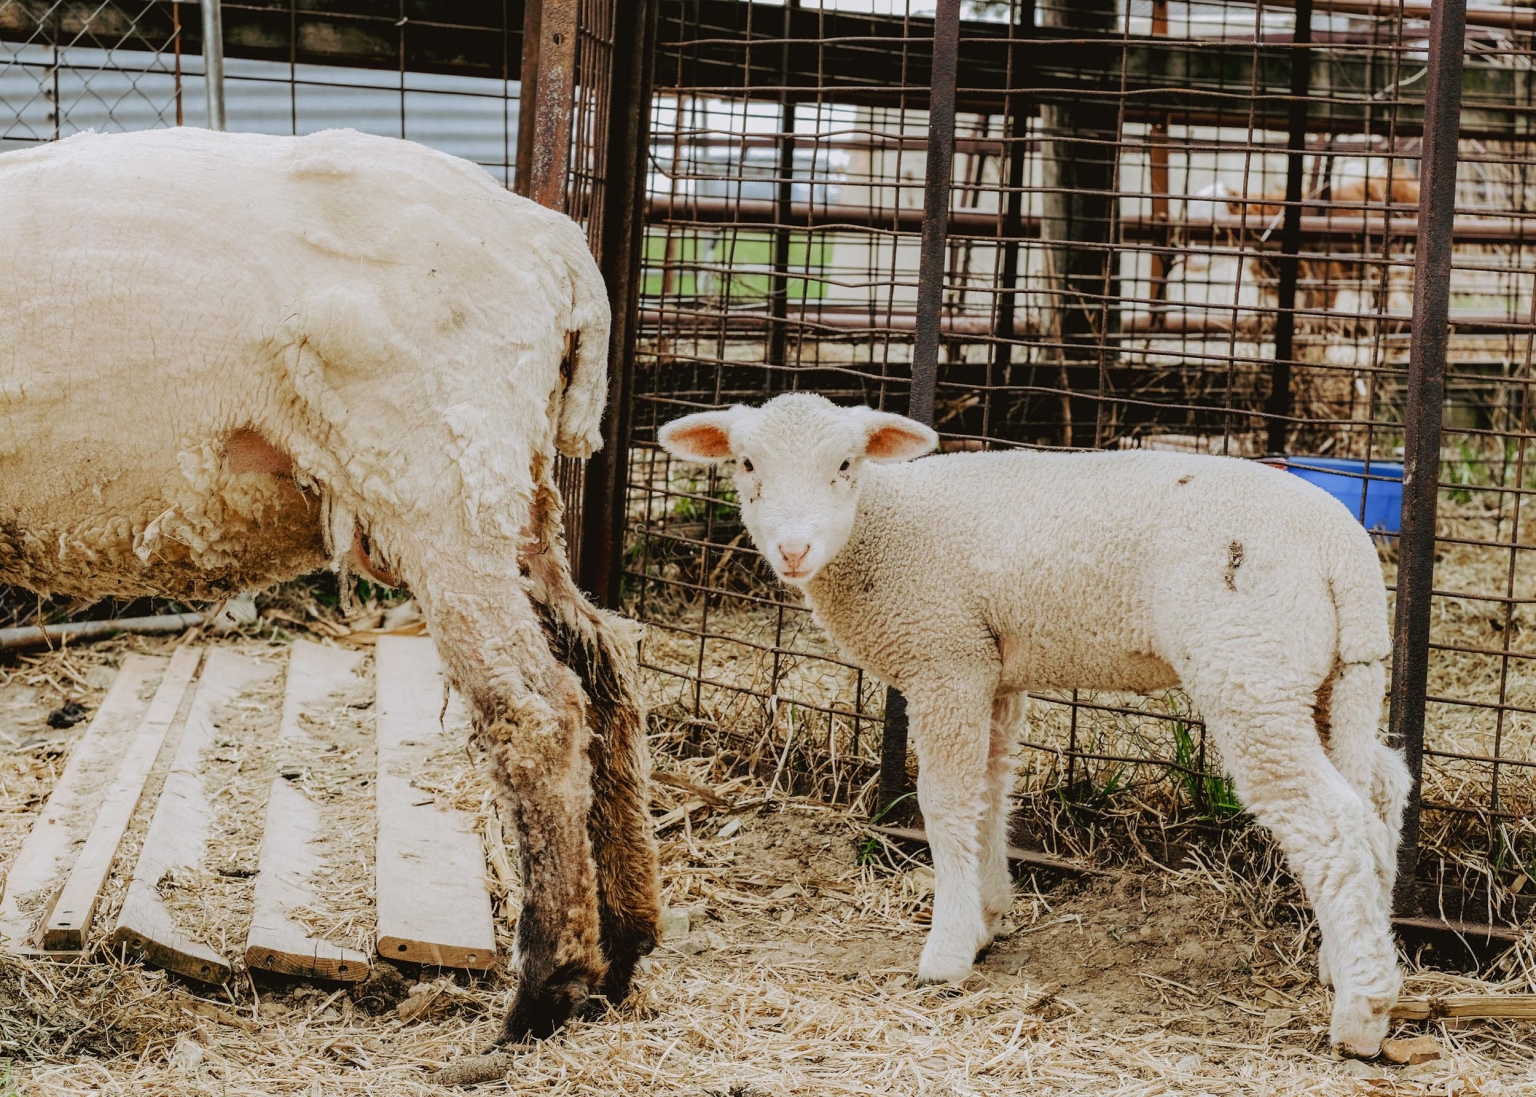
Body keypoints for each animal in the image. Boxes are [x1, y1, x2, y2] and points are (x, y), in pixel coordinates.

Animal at [0, 127, 659, 1041]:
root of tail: (555, 242)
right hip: (514, 488)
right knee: (603, 664)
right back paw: (624, 946)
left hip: (439, 477)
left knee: (535, 709)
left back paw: (544, 991)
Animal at [659, 393, 1410, 1058]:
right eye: (746, 463)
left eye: (846, 463)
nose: (793, 549)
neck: (885, 524)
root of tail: (1344, 549)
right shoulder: (990, 668)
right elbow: (989, 794)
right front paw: (987, 915)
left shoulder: (945, 658)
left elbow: (946, 803)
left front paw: (947, 951)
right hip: (1322, 672)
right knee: (1381, 789)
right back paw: (1350, 957)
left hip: (1249, 661)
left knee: (1333, 821)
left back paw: (1362, 1014)